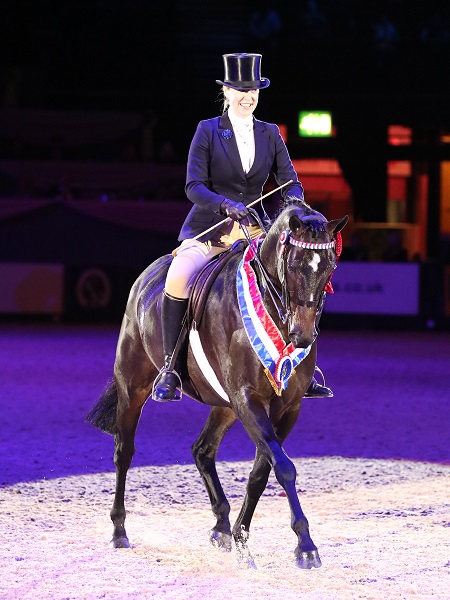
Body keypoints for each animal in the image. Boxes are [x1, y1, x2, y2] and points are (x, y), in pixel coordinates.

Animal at [87, 200, 348, 568]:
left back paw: (222, 527)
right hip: (133, 385)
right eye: (294, 264)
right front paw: (305, 545)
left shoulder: (287, 406)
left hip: (223, 404)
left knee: (202, 450)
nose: (302, 336)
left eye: (329, 268)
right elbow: (283, 467)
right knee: (123, 452)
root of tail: (148, 275)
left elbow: (262, 470)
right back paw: (119, 531)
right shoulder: (247, 398)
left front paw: (240, 537)